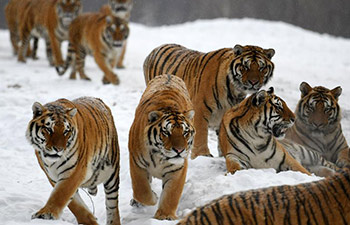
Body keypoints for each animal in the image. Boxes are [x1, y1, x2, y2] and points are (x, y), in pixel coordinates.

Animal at [25, 96, 120, 225]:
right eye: (49, 129)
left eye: (66, 131)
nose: (58, 149)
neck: (53, 162)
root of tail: (98, 100)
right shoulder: (53, 176)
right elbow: (75, 204)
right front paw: (89, 221)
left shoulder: (74, 172)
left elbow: (61, 193)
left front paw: (45, 214)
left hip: (111, 174)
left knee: (112, 205)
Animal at [129, 74, 196, 220]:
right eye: (166, 132)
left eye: (185, 132)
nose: (179, 150)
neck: (159, 156)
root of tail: (168, 75)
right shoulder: (137, 164)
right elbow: (141, 190)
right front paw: (153, 198)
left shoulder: (178, 169)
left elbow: (171, 194)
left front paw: (165, 216)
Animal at [144, 43, 274, 160]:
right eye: (245, 66)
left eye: (262, 67)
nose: (253, 82)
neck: (235, 90)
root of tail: (155, 49)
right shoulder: (200, 110)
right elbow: (201, 134)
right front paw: (202, 155)